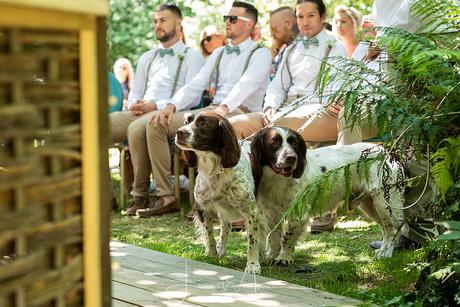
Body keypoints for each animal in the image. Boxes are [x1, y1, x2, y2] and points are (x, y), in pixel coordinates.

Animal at [176, 112, 262, 274]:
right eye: (187, 121)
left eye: (203, 124)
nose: (179, 132)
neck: (215, 170)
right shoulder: (203, 208)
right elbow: (209, 235)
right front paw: (212, 255)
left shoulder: (251, 212)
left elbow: (252, 240)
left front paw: (253, 265)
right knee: (226, 227)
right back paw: (221, 249)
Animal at [250, 127, 404, 264]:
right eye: (274, 142)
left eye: (294, 143)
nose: (291, 158)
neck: (279, 180)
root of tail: (390, 152)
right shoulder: (270, 214)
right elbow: (273, 237)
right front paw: (271, 256)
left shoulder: (297, 214)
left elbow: (287, 237)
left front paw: (284, 258)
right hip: (370, 204)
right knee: (387, 228)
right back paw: (383, 249)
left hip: (383, 202)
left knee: (393, 228)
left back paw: (386, 253)